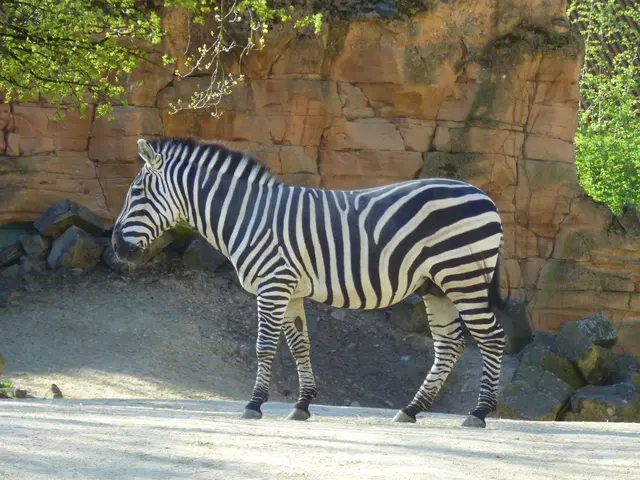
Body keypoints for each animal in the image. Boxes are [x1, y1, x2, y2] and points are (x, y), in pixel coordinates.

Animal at [112, 136, 507, 428]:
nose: (116, 248)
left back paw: (479, 413)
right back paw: (411, 409)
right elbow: (300, 346)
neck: (247, 215)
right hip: (436, 285)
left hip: (463, 276)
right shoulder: (289, 290)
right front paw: (302, 405)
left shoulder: (272, 285)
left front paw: (254, 404)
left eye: (137, 193)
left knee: (491, 337)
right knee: (449, 344)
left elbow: (265, 347)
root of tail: (484, 195)